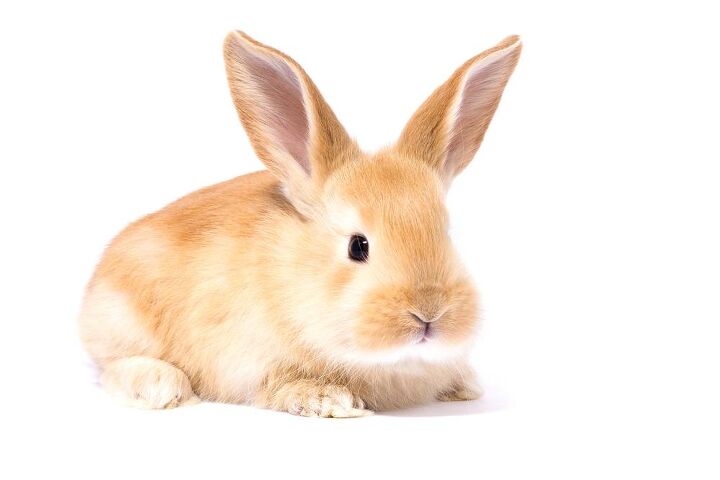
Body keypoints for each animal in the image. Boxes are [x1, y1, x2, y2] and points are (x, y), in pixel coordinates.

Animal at [78, 31, 521, 417]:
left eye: (446, 233)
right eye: (357, 245)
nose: (429, 312)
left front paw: (465, 385)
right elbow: (281, 385)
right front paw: (330, 401)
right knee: (112, 367)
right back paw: (162, 386)